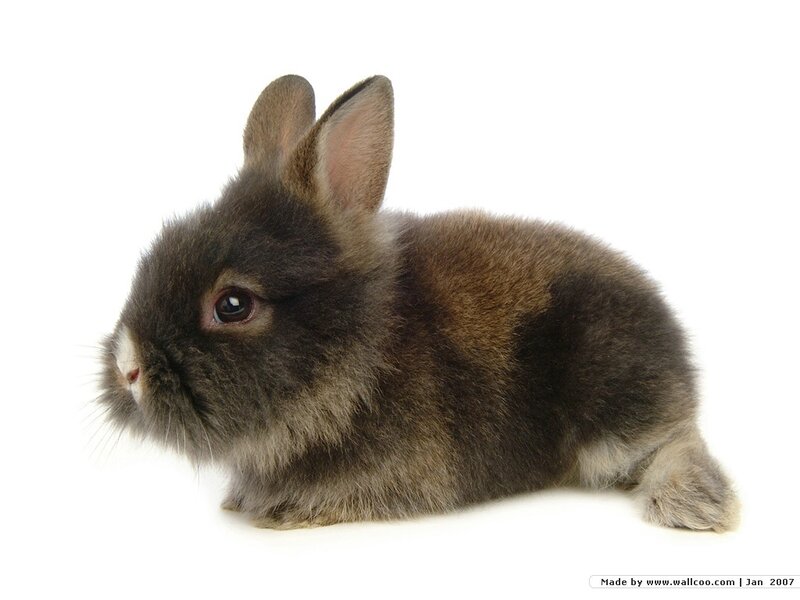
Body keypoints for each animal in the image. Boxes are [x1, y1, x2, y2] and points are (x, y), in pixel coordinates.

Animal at [98, 74, 739, 531]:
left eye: (233, 304)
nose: (128, 368)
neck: (362, 354)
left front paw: (288, 512)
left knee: (673, 443)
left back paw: (694, 505)